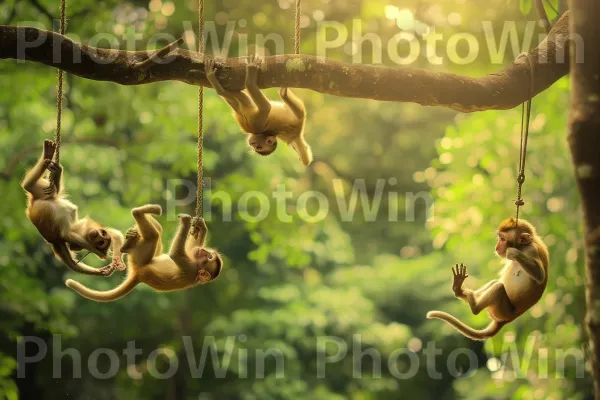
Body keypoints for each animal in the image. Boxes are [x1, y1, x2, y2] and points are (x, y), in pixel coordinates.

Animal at [22, 140, 125, 276]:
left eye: (101, 242)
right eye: (101, 235)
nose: (98, 234)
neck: (85, 233)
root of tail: (32, 206)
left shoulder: (63, 243)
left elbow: (68, 244)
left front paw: (102, 268)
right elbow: (116, 234)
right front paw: (111, 260)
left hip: (40, 195)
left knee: (28, 185)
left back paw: (48, 159)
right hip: (43, 191)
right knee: (40, 188)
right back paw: (51, 162)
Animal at [65, 205, 224, 302]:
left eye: (209, 257)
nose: (204, 251)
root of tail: (138, 274)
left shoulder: (190, 268)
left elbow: (175, 255)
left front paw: (186, 221)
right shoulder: (192, 259)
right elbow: (192, 247)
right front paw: (200, 226)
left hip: (139, 257)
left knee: (153, 235)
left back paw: (131, 235)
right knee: (158, 230)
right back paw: (134, 233)